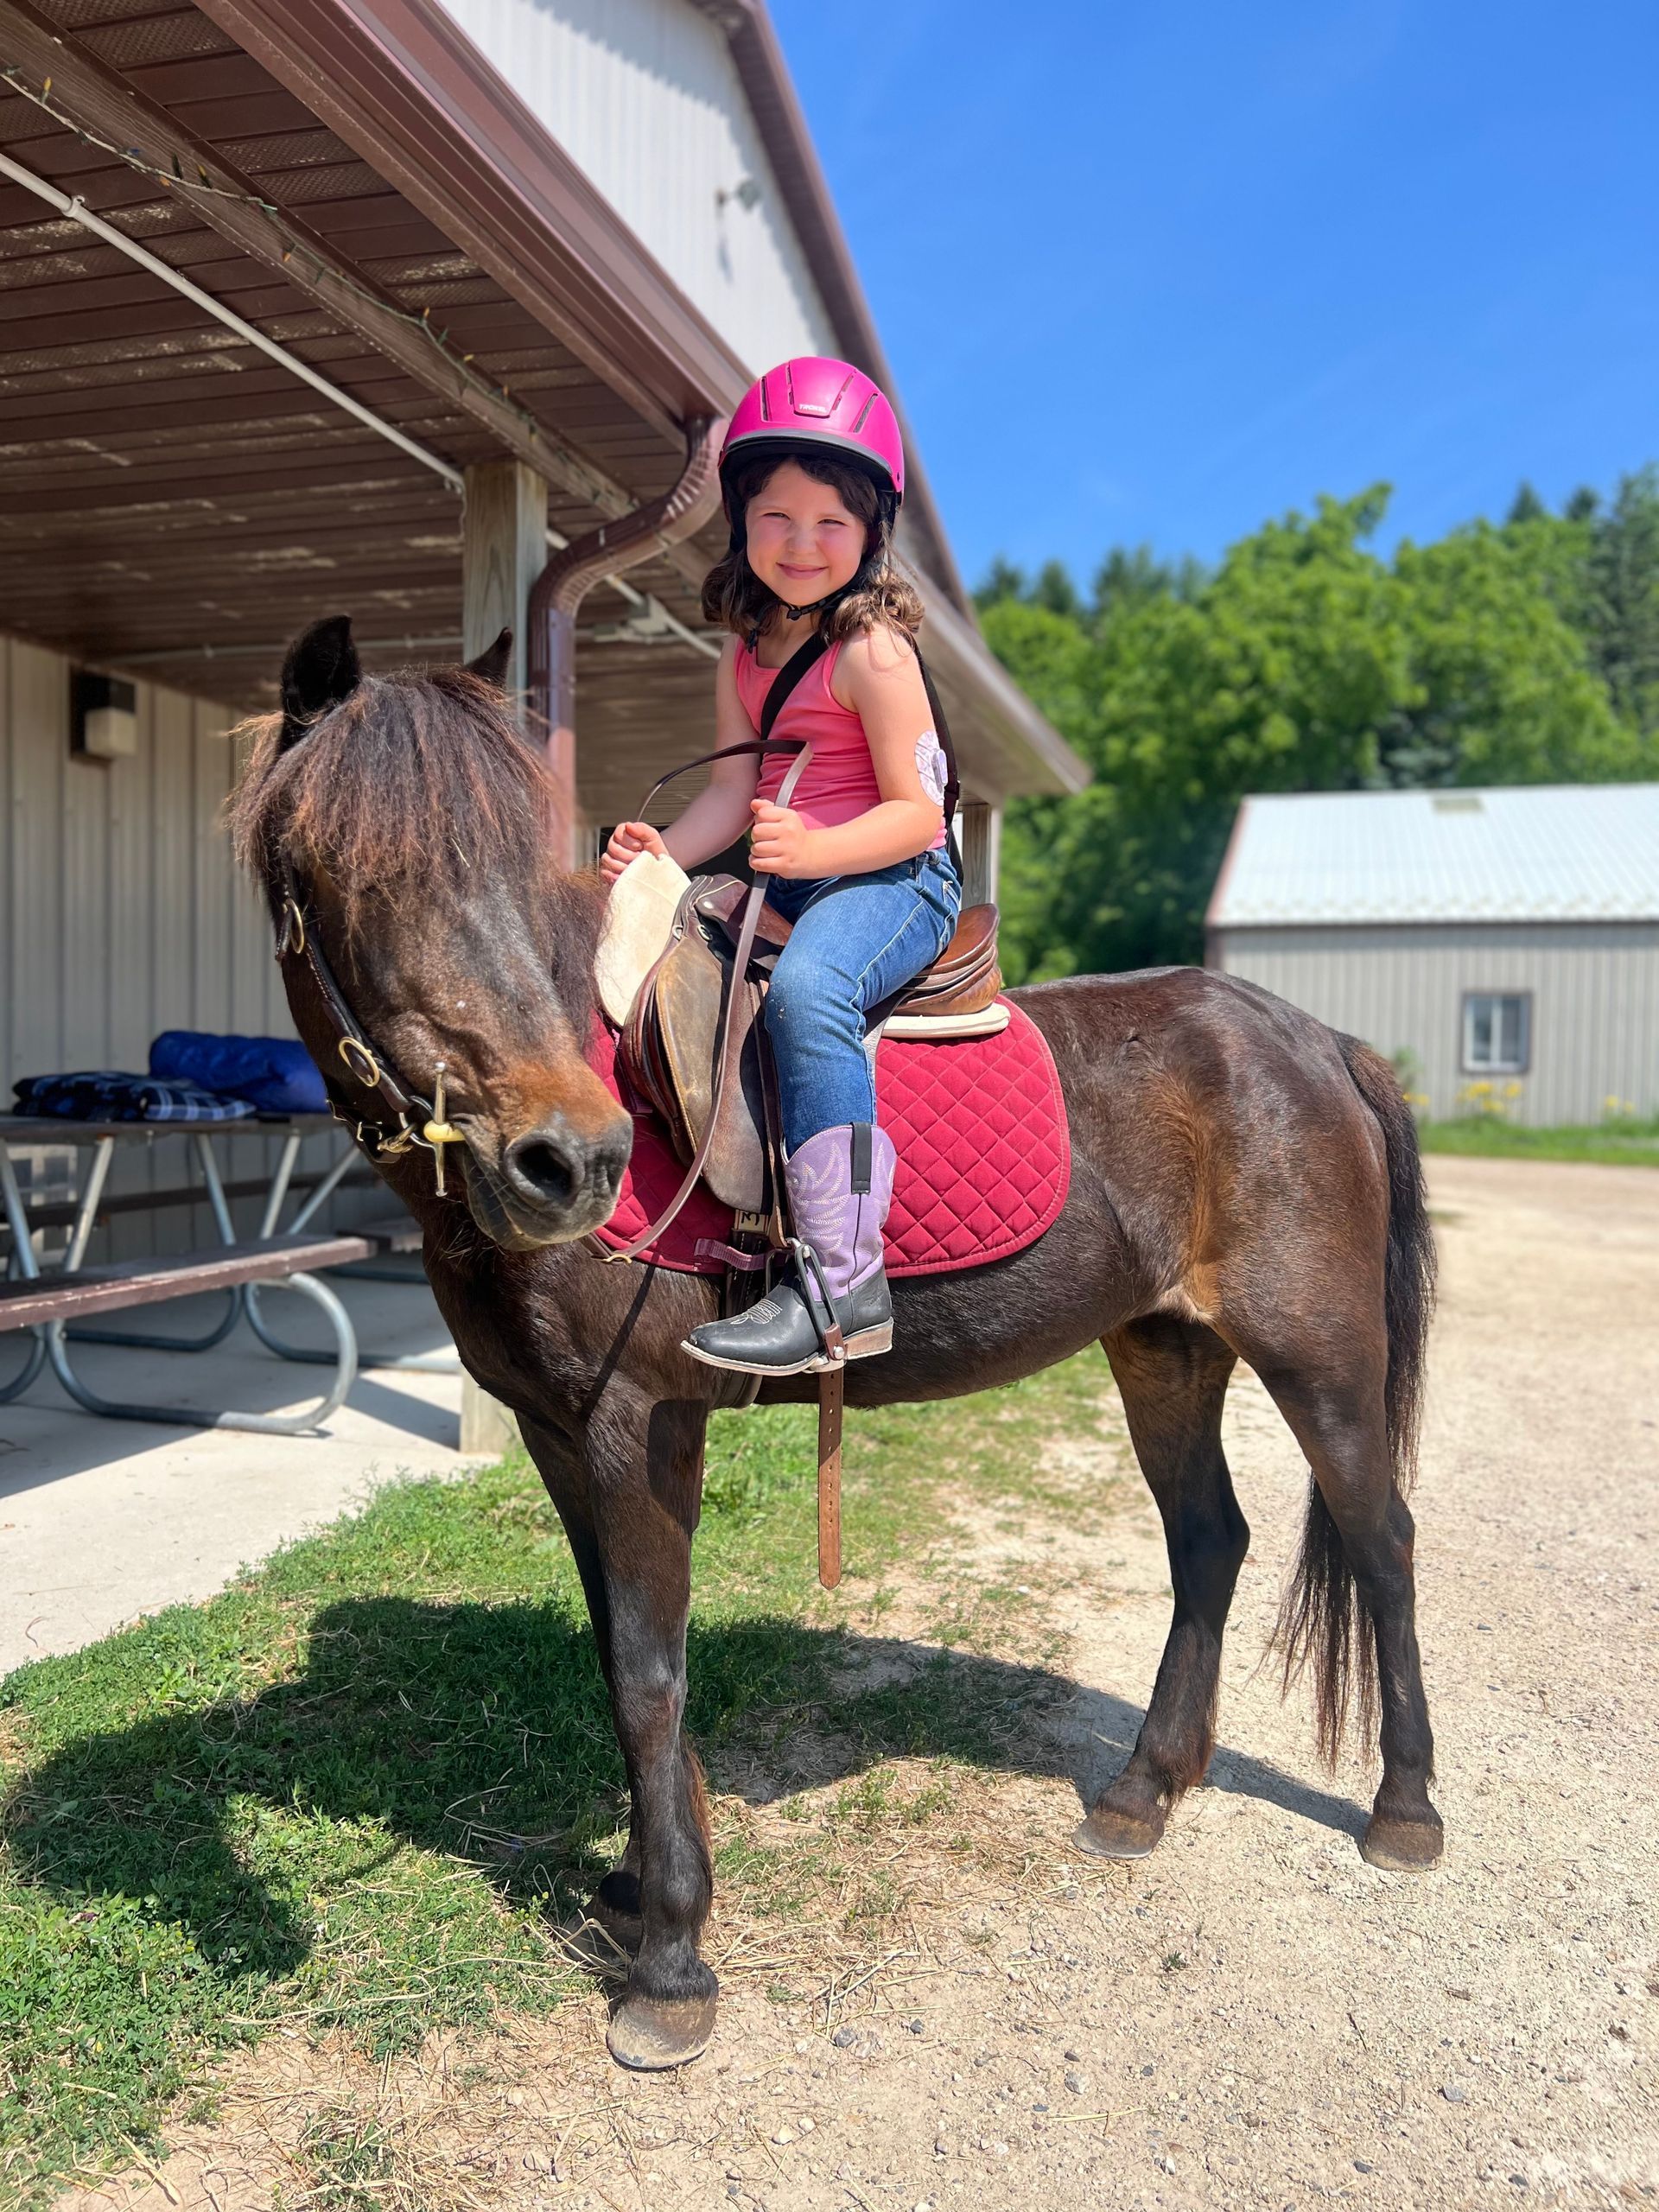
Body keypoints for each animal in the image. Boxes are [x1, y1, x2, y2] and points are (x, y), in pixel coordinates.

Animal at [231, 616, 1442, 2072]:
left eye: (513, 864)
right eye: (348, 874)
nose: (568, 1161)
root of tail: (1315, 1038)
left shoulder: (639, 1425)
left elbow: (648, 1673)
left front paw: (672, 1961)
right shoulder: (553, 1427)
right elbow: (617, 1651)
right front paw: (638, 1886)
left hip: (1319, 1356)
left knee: (1381, 1540)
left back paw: (1405, 1811)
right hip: (1162, 1349)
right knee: (1209, 1541)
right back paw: (1144, 1791)